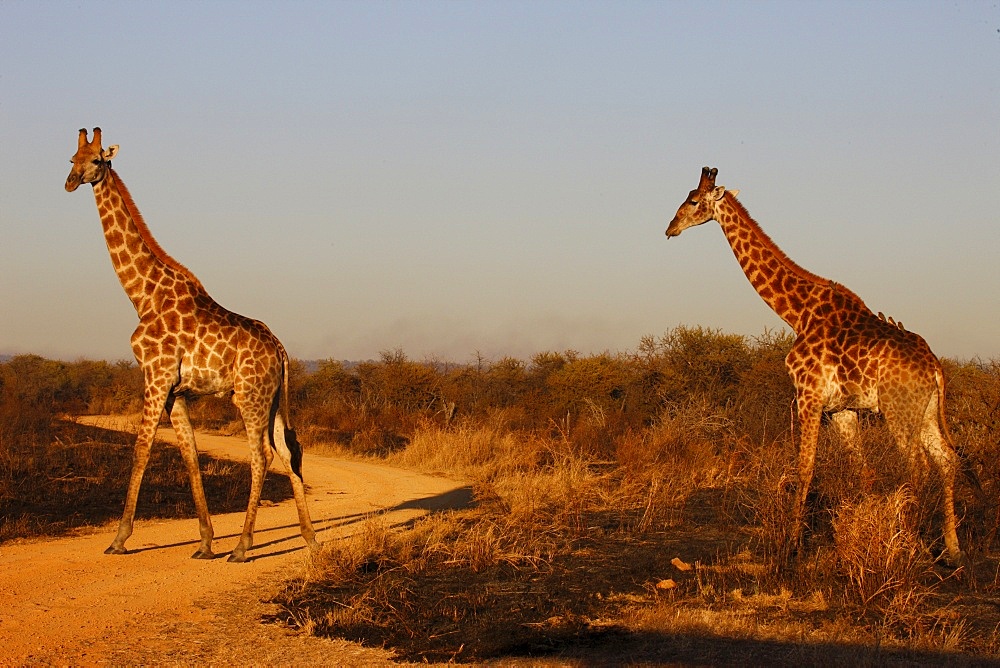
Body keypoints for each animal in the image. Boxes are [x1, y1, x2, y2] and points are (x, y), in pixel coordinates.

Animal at [64, 128, 320, 560]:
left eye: (97, 160)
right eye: (71, 159)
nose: (69, 183)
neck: (142, 296)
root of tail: (280, 350)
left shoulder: (155, 377)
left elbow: (142, 450)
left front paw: (119, 539)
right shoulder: (176, 391)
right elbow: (190, 456)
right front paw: (204, 541)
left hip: (249, 396)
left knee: (262, 455)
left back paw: (243, 547)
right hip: (271, 399)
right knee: (287, 451)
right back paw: (309, 537)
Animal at [664, 166, 976, 564]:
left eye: (692, 200)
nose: (670, 227)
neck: (797, 313)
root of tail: (935, 367)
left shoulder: (808, 395)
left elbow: (805, 466)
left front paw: (794, 544)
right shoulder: (842, 409)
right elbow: (862, 470)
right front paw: (856, 533)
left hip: (899, 409)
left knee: (918, 466)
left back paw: (915, 543)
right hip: (926, 410)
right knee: (946, 460)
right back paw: (952, 548)